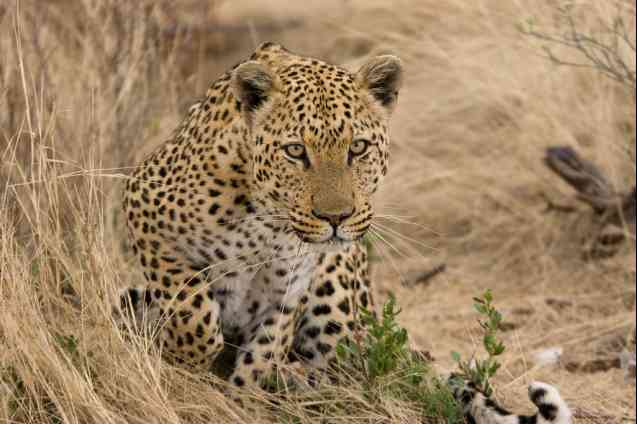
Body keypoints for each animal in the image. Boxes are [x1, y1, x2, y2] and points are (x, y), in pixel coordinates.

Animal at [117, 40, 572, 424]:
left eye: (358, 148)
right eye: (295, 151)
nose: (335, 217)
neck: (266, 219)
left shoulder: (287, 290)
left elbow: (261, 355)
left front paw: (240, 402)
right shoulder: (142, 207)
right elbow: (192, 307)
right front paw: (186, 368)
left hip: (335, 296)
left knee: (346, 373)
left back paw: (303, 388)